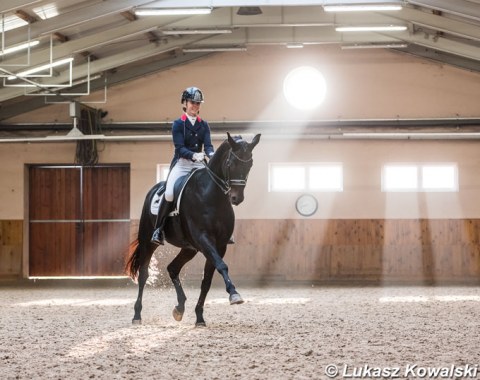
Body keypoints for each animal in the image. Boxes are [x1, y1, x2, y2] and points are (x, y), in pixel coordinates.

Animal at [125, 132, 260, 326]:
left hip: (190, 248)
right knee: (144, 274)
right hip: (148, 241)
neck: (212, 195)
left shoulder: (219, 245)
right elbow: (222, 266)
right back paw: (137, 315)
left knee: (173, 268)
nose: (236, 198)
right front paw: (234, 294)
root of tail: (155, 188)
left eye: (250, 164)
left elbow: (207, 280)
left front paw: (199, 317)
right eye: (231, 163)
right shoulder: (204, 239)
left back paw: (179, 308)